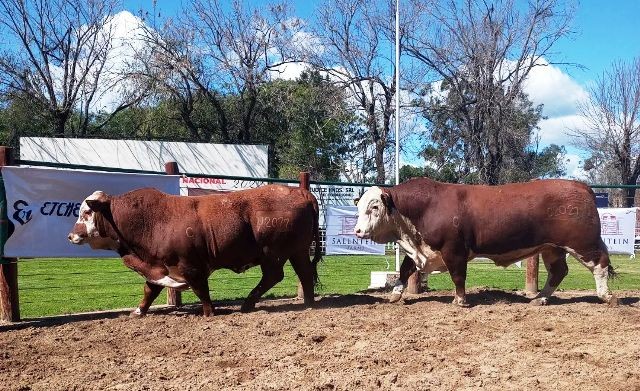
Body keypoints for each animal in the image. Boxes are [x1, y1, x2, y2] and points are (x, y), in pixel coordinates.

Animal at [67, 185, 322, 316]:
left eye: (86, 212)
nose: (71, 235)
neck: (151, 221)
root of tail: (300, 192)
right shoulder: (157, 264)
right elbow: (150, 289)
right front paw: (138, 311)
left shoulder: (190, 266)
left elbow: (201, 290)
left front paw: (209, 312)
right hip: (297, 251)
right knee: (304, 273)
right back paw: (309, 303)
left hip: (273, 253)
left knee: (273, 275)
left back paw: (248, 303)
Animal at [352, 179, 616, 308]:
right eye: (359, 206)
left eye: (374, 207)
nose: (357, 231)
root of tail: (581, 186)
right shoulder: (420, 249)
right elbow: (405, 270)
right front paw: (395, 295)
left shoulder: (454, 250)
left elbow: (458, 276)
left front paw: (460, 300)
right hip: (553, 248)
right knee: (559, 271)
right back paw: (540, 298)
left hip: (583, 243)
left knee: (600, 264)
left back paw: (606, 296)